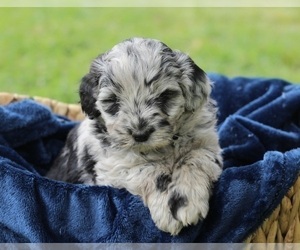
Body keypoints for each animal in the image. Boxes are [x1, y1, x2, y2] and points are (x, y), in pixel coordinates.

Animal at [47, 37, 223, 234]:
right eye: (112, 101)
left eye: (165, 96)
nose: (140, 134)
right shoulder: (115, 167)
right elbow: (152, 171)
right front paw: (172, 206)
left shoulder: (206, 144)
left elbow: (194, 158)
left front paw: (184, 198)